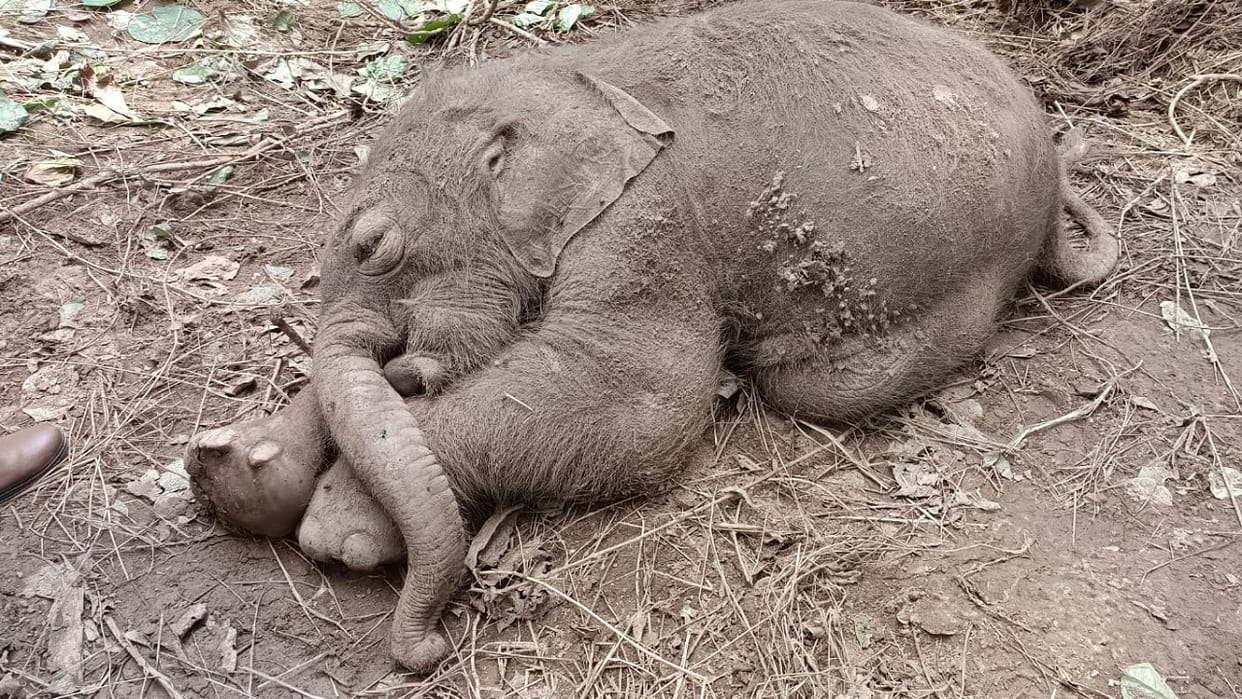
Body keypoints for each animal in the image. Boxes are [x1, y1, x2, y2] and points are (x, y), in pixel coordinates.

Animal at [185, 0, 1119, 672]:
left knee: (811, 380)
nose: (430, 648)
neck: (564, 83)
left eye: (376, 246)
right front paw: (240, 462)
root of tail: (1054, 178)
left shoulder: (645, 220)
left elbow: (634, 402)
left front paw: (338, 526)